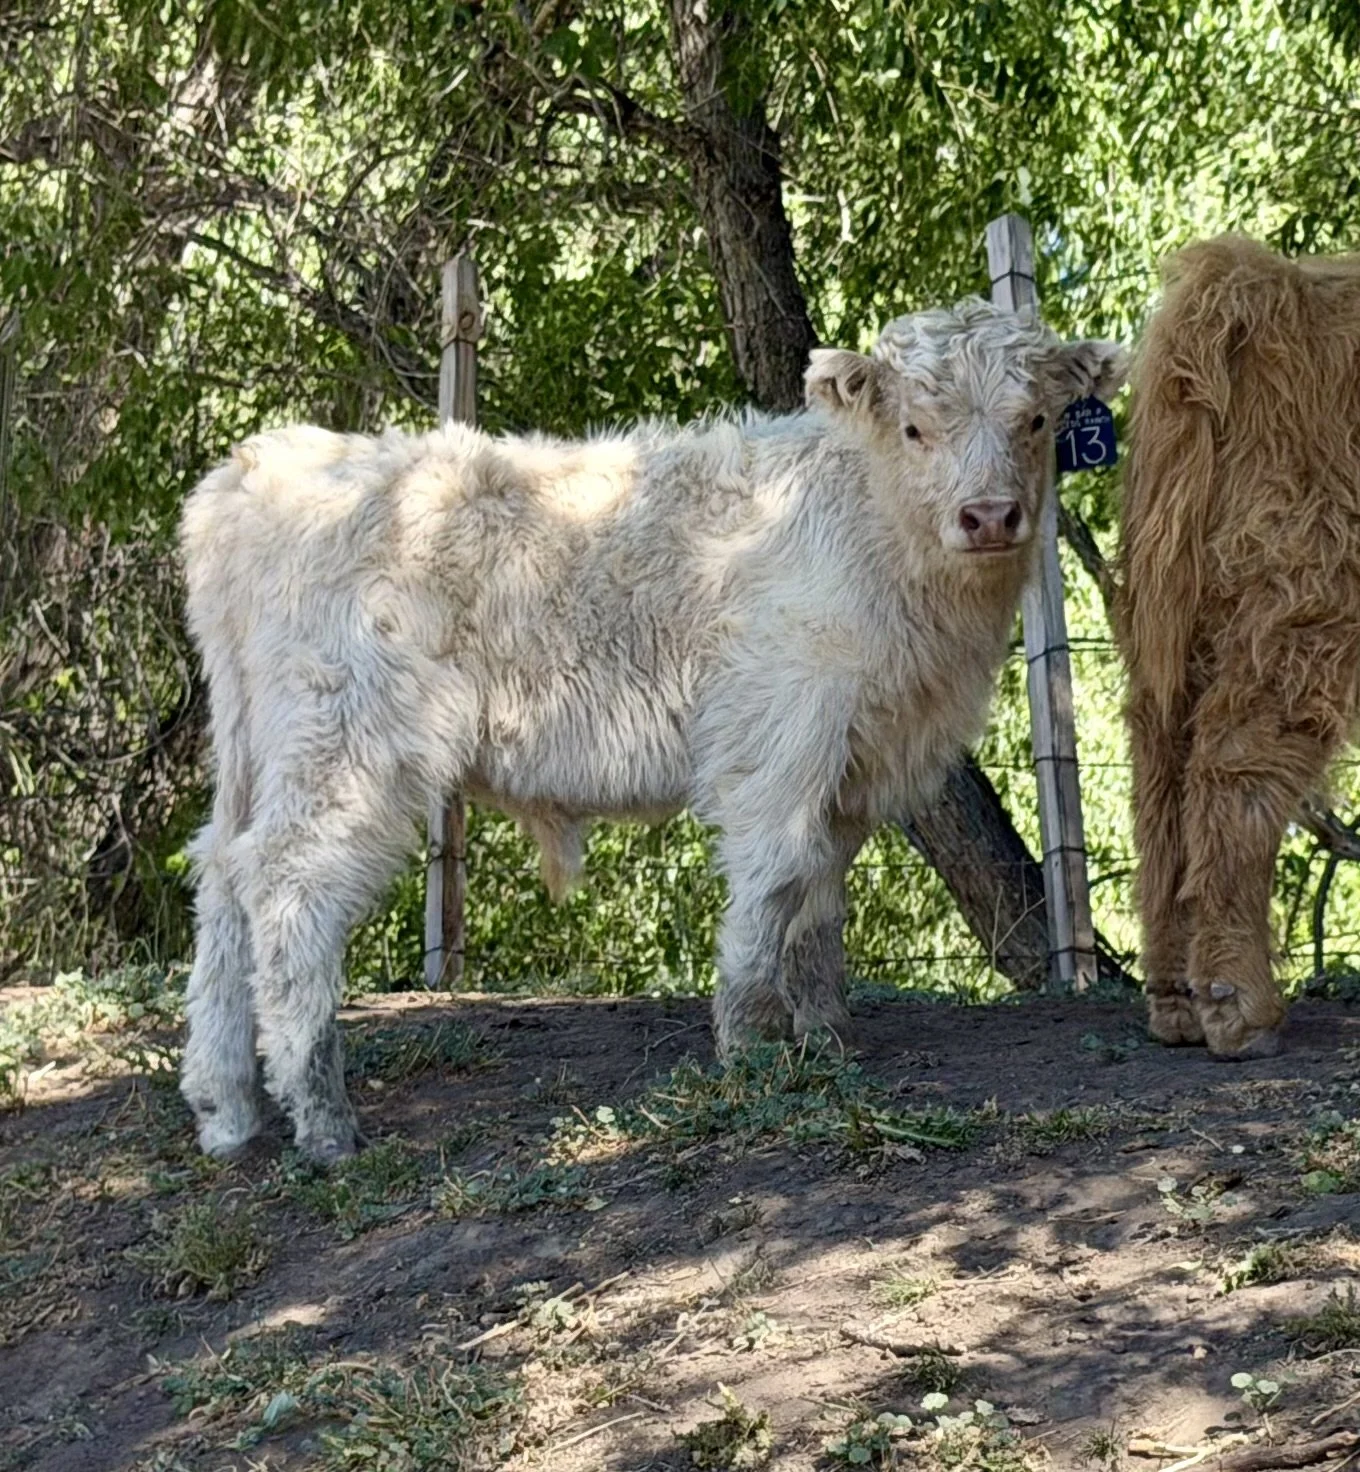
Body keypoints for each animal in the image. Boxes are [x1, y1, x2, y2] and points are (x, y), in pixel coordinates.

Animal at [178, 298, 1124, 1161]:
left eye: (1036, 419)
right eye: (916, 426)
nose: (990, 516)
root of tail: (262, 467)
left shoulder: (856, 759)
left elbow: (822, 902)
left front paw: (826, 1037)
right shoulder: (782, 734)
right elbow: (777, 881)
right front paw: (750, 1046)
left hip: (262, 750)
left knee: (222, 879)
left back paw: (225, 1110)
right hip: (350, 746)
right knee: (287, 886)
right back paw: (323, 1123)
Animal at [1118, 234, 1360, 1058]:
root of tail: (1257, 281)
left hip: (1178, 611)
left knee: (1163, 778)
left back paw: (1175, 1001)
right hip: (1307, 599)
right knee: (1231, 770)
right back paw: (1238, 1006)